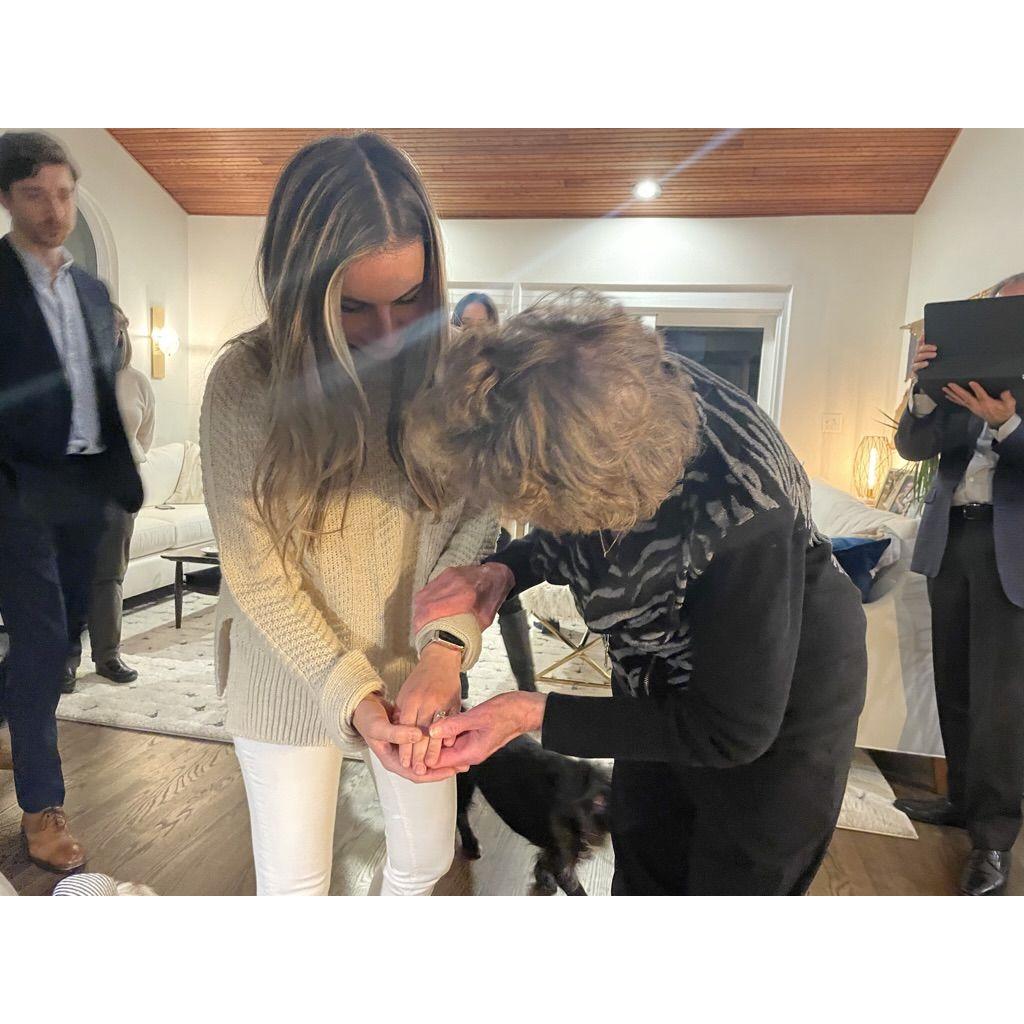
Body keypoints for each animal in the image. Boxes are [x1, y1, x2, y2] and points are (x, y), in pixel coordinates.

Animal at [454, 737, 606, 897]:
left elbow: (542, 863)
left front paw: (544, 878)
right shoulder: (563, 863)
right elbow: (577, 890)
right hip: (463, 782)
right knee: (459, 813)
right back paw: (470, 843)